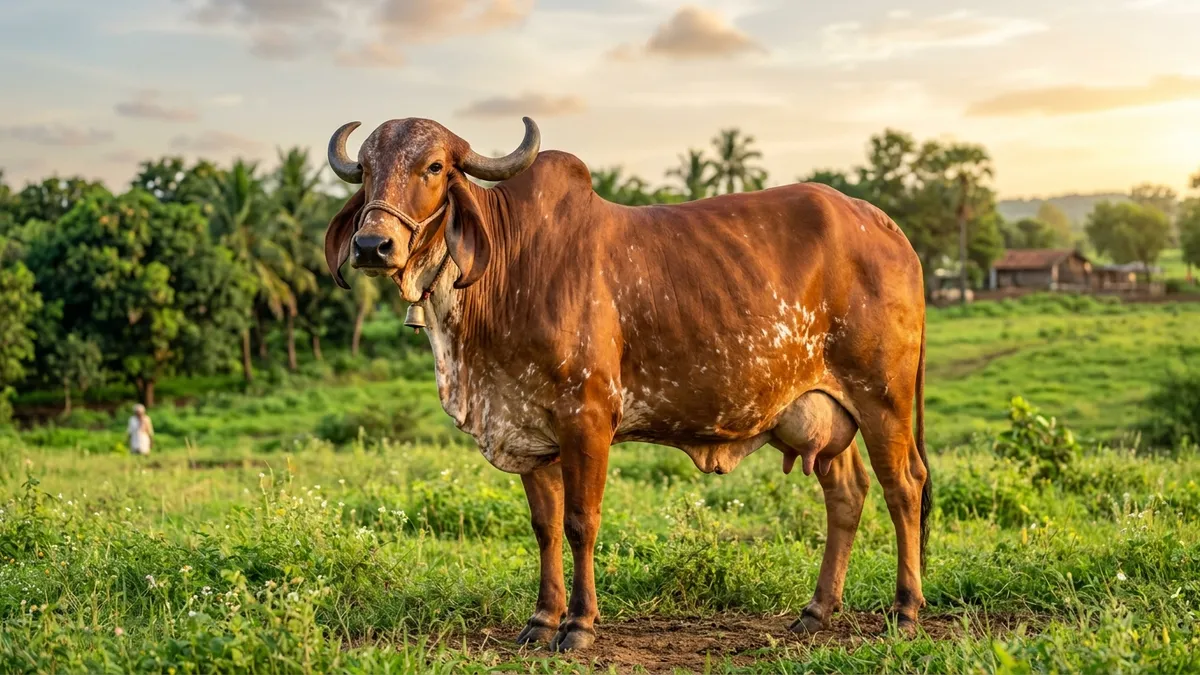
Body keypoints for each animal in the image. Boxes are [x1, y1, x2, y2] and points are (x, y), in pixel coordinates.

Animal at [323, 116, 931, 652]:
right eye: (367, 170)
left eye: (433, 166)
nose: (372, 246)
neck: (507, 269)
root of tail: (890, 228)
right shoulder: (528, 429)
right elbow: (545, 527)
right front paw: (541, 621)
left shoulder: (588, 419)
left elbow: (580, 523)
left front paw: (579, 625)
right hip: (824, 412)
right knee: (846, 494)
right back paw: (816, 612)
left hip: (883, 397)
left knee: (904, 486)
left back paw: (905, 612)